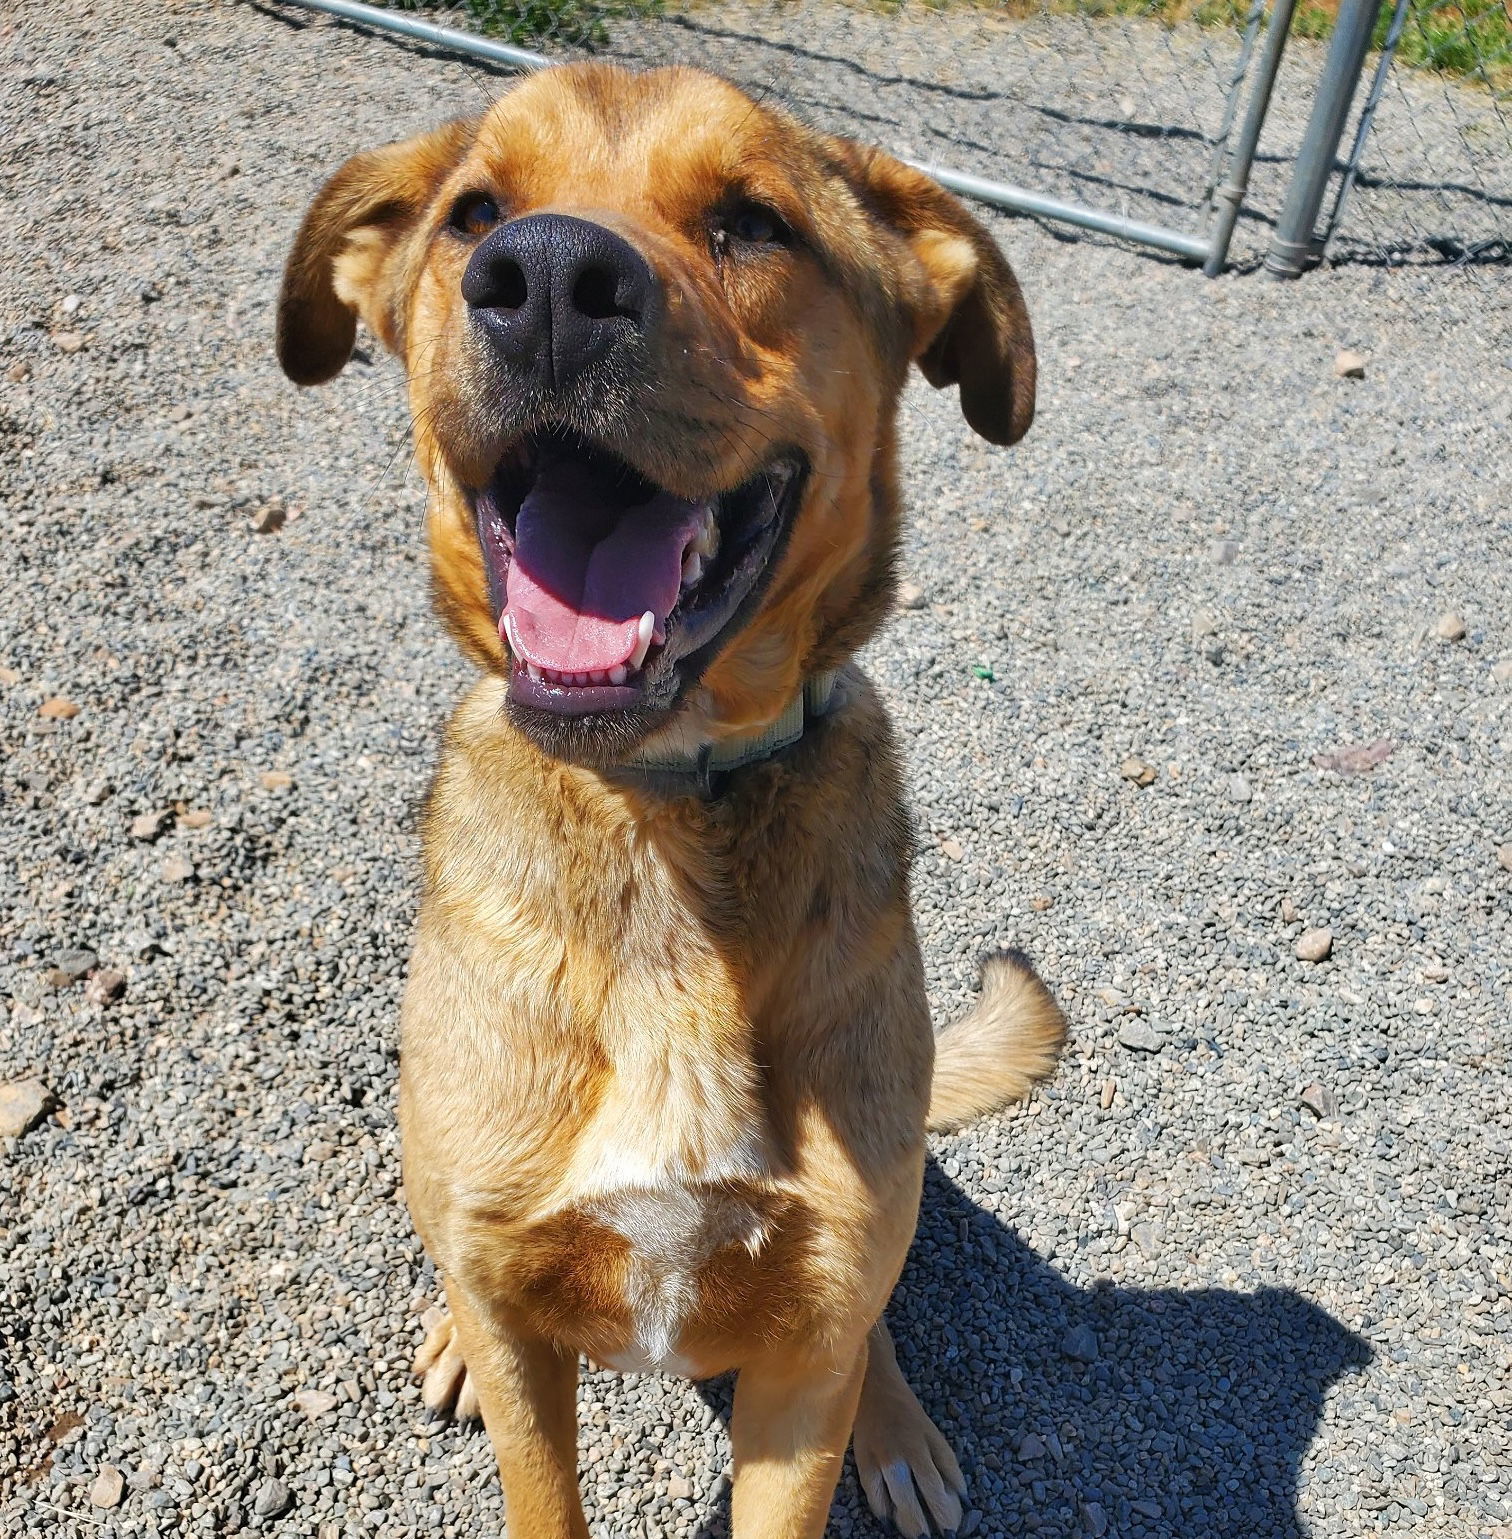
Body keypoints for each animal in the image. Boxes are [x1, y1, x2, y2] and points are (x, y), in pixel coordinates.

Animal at [275, 60, 1065, 1539]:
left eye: (753, 222)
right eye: (476, 213)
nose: (544, 281)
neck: (659, 815)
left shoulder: (804, 1348)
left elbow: (833, 1357)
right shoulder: (523, 1319)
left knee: (876, 1321)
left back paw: (899, 1428)